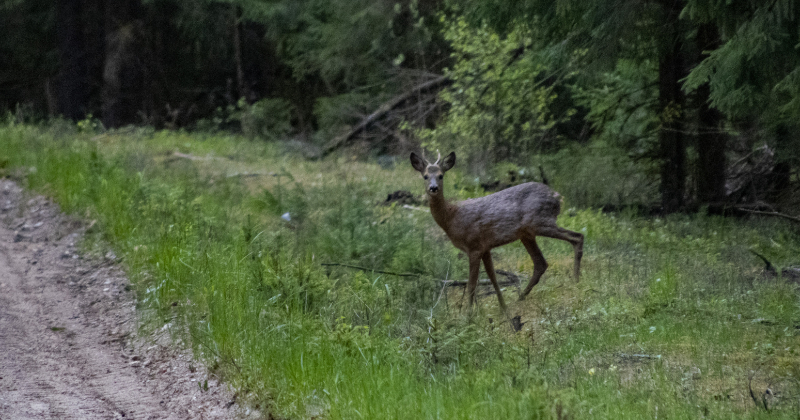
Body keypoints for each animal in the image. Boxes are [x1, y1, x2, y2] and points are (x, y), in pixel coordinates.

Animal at [410, 151, 584, 316]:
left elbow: (472, 284)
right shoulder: (485, 247)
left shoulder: (473, 245)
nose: (433, 188)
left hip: (541, 221)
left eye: (441, 175)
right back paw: (521, 297)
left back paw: (576, 281)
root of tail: (557, 197)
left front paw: (468, 315)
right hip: (527, 234)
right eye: (425, 176)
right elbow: (493, 278)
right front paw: (503, 308)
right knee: (541, 263)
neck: (452, 217)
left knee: (577, 237)